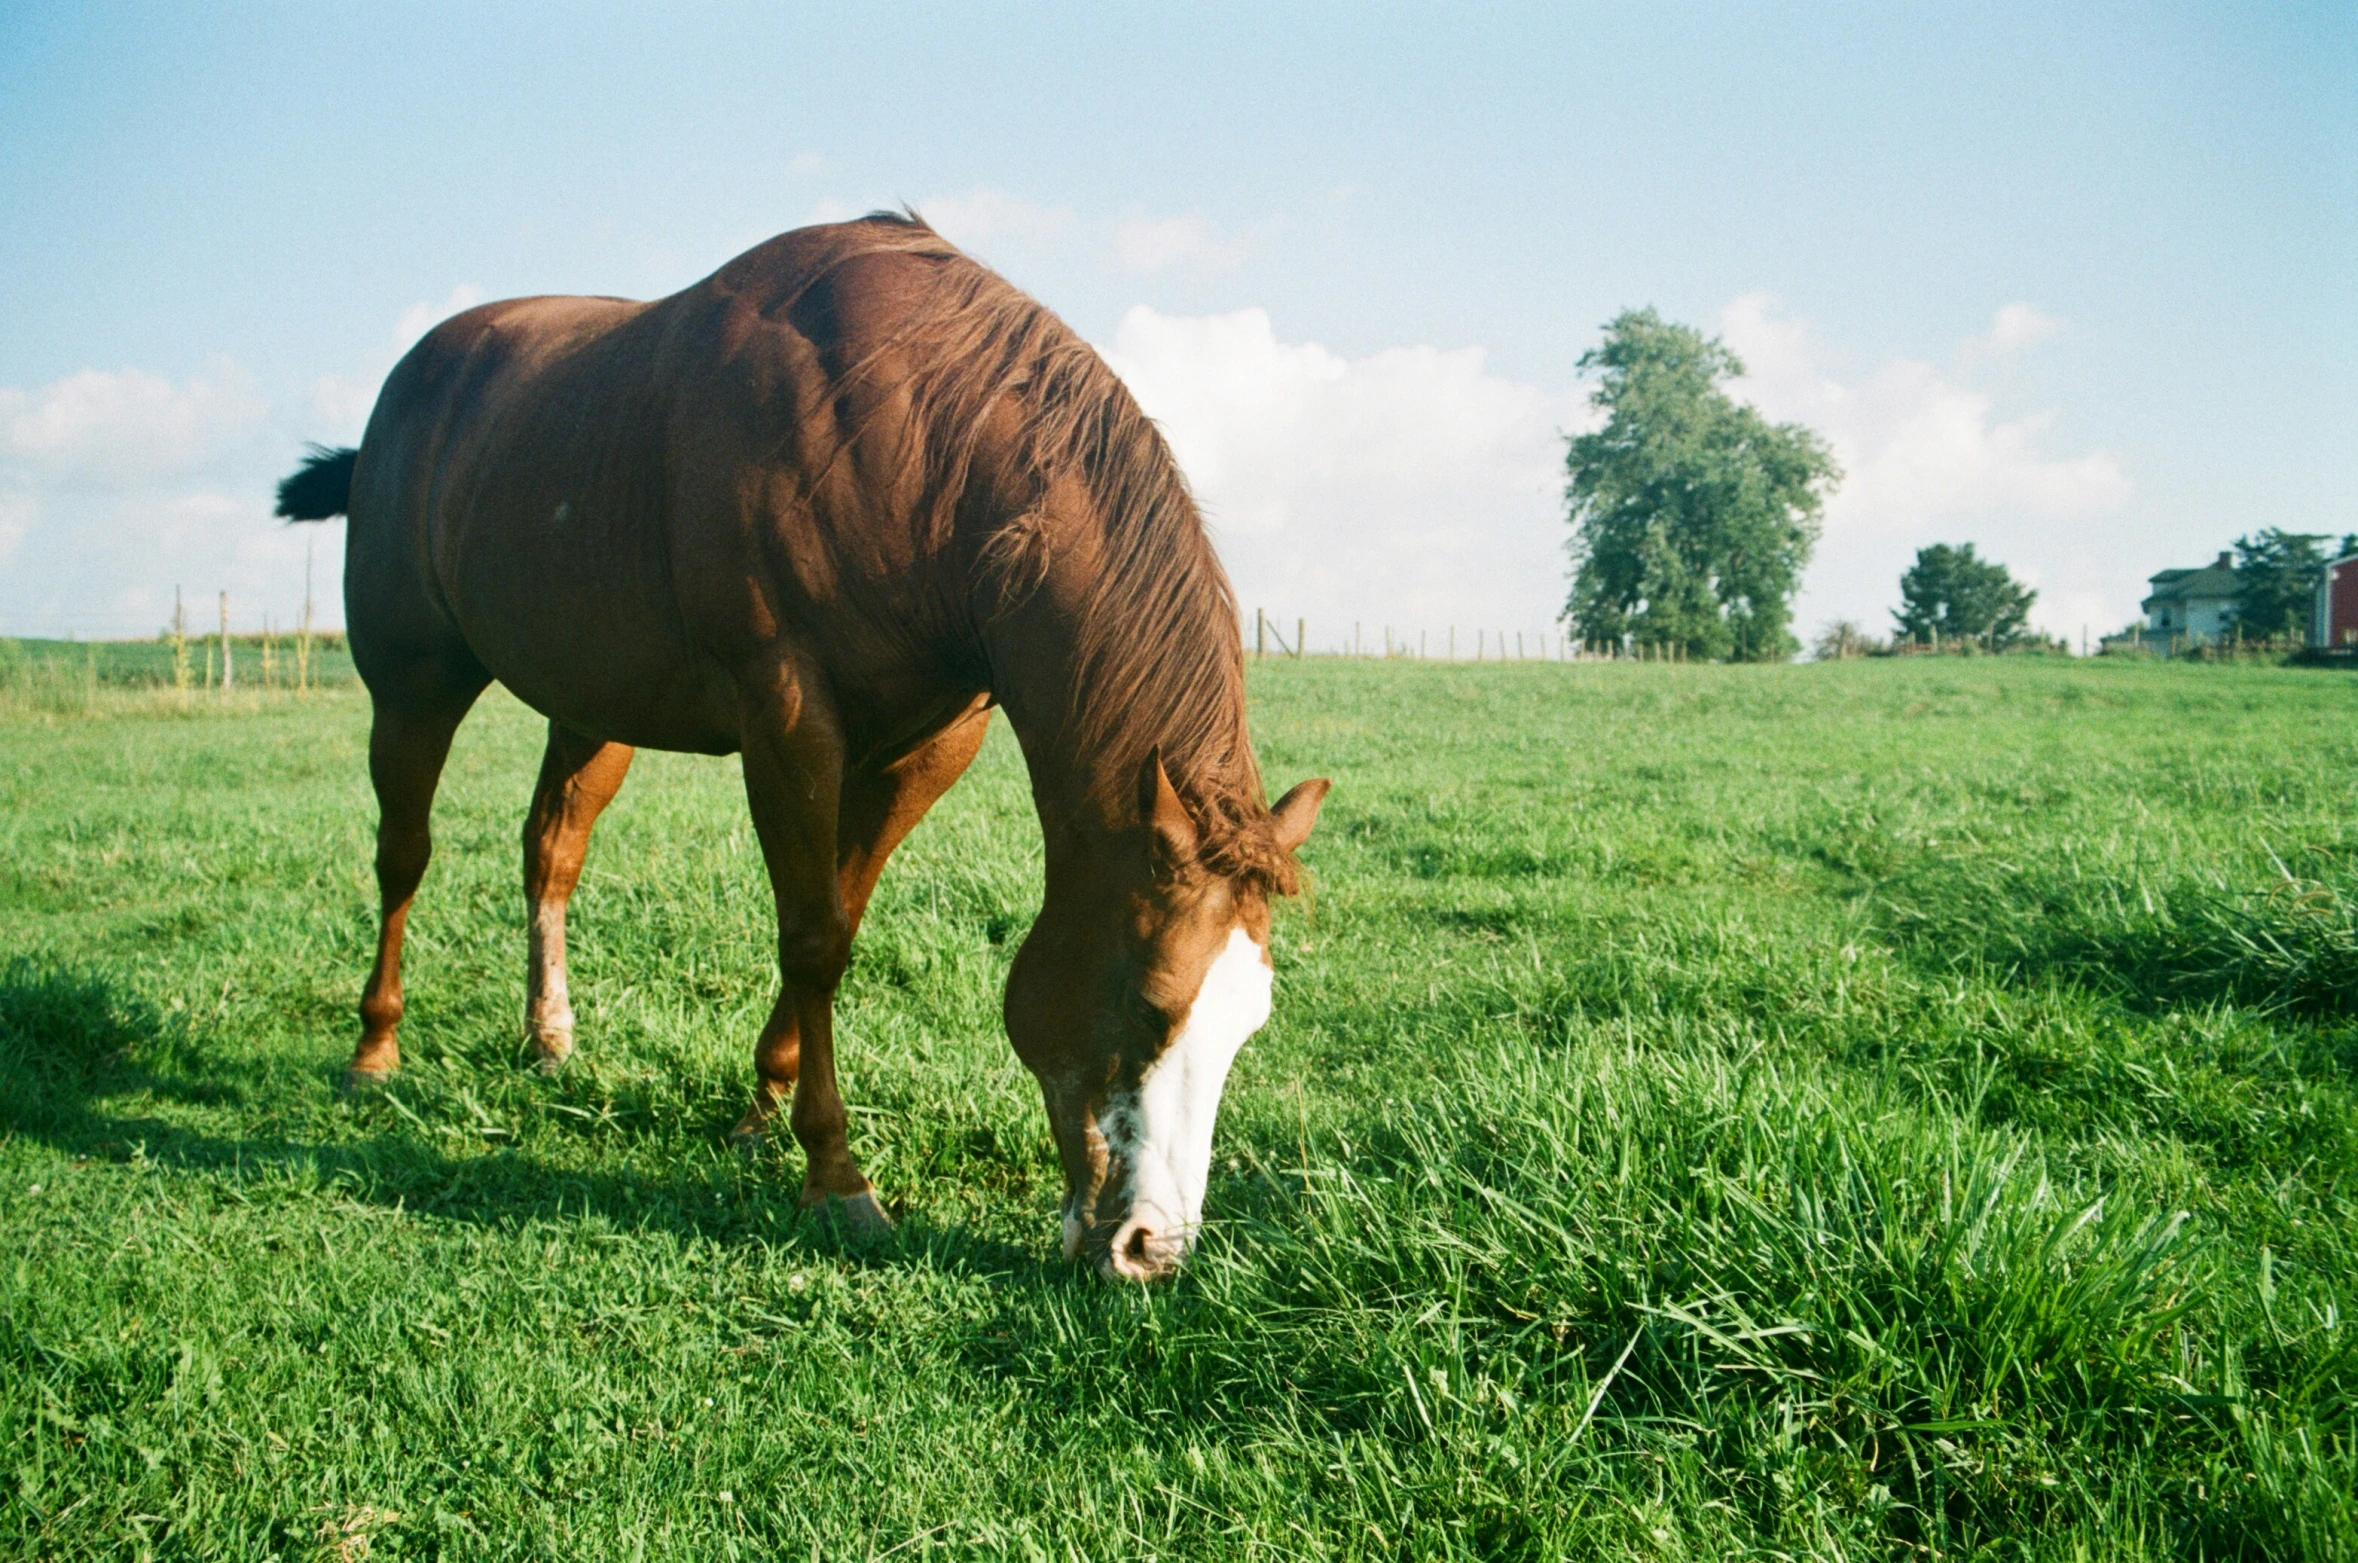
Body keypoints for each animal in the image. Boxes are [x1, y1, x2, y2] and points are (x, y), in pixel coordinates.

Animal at [275, 210, 1329, 1282]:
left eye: (1250, 1022)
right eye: (1154, 1004)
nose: (1153, 1247)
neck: (929, 448)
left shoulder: (928, 747)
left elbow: (838, 916)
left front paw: (760, 1112)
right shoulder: (785, 719)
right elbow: (815, 939)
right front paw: (835, 1173)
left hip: (591, 706)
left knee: (551, 850)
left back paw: (549, 1036)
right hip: (412, 684)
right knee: (403, 855)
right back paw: (374, 1050)